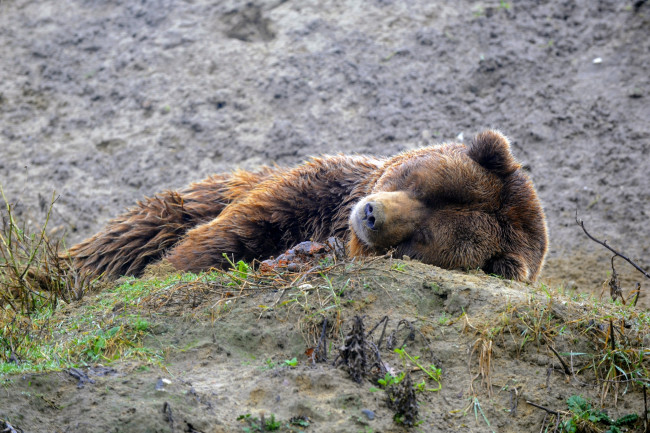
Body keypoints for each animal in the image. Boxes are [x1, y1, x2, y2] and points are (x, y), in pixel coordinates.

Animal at [68, 130, 548, 282]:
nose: (371, 214)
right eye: (419, 186)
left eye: (423, 238)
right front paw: (167, 269)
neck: (335, 222)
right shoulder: (313, 191)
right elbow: (231, 233)